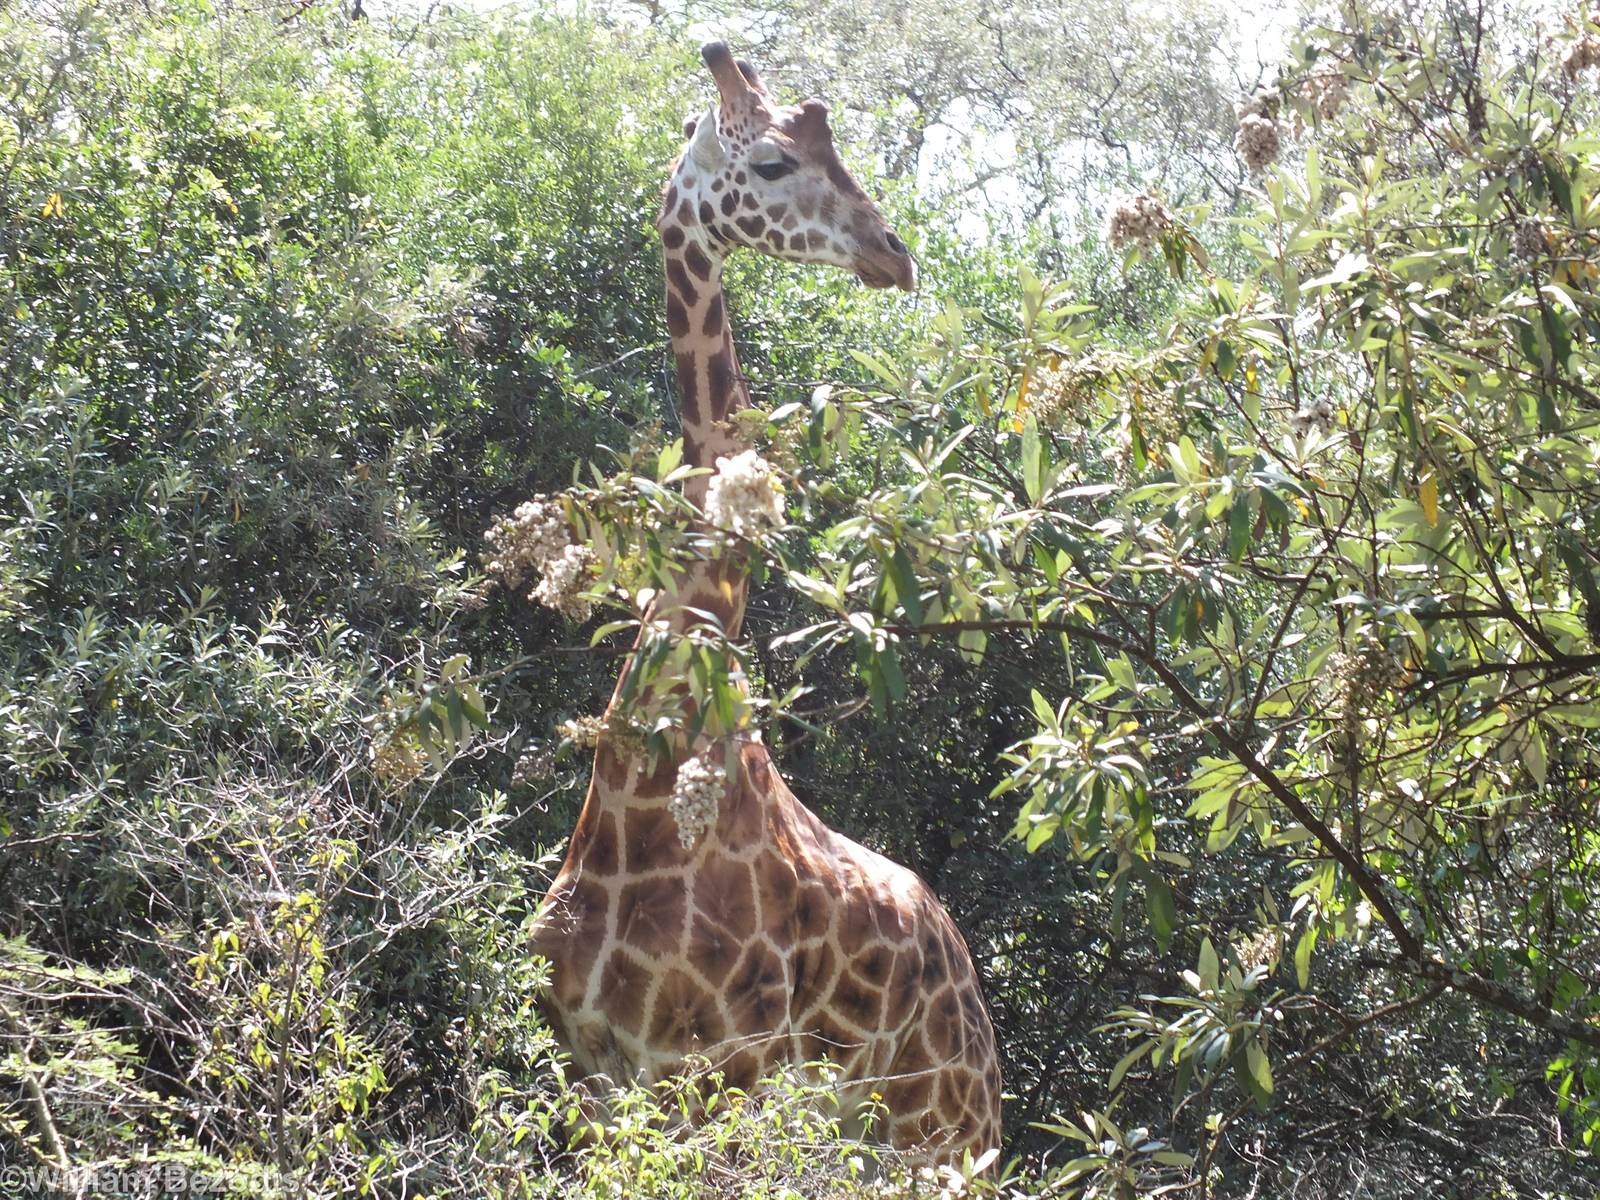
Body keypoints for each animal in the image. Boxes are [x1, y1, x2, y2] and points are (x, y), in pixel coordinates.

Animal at [530, 41, 1002, 1165]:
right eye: (777, 160)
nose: (893, 254)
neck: (648, 798)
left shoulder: (714, 1077)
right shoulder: (590, 1069)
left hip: (929, 1131)